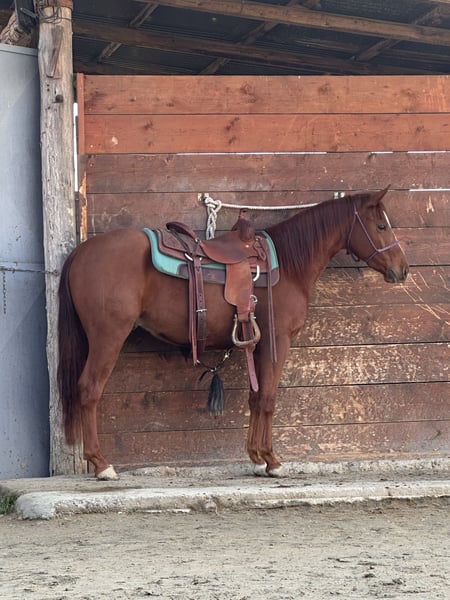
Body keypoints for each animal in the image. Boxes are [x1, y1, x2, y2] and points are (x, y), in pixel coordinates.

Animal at [57, 188, 409, 480]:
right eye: (381, 226)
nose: (403, 270)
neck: (288, 265)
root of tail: (82, 252)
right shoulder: (277, 341)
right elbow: (268, 398)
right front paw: (272, 461)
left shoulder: (257, 344)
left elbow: (255, 397)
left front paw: (256, 458)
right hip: (108, 337)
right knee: (89, 389)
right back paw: (101, 464)